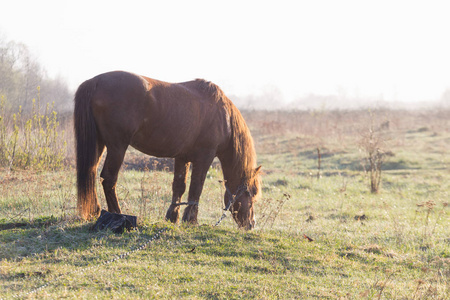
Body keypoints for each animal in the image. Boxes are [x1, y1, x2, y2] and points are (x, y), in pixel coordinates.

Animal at [74, 71, 262, 230]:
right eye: (250, 193)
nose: (251, 224)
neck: (224, 117)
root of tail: (95, 81)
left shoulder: (182, 158)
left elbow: (179, 187)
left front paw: (172, 218)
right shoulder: (204, 157)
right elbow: (196, 188)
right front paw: (191, 220)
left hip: (100, 144)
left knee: (91, 172)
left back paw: (95, 211)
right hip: (117, 147)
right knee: (109, 179)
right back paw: (119, 214)